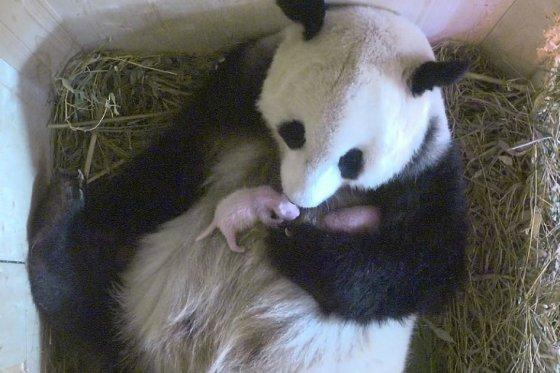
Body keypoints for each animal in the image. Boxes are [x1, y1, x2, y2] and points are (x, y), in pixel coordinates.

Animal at [28, 1, 470, 370]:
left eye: (352, 160)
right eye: (294, 132)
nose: (296, 199)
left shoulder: (427, 170)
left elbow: (420, 265)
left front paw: (293, 243)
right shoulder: (236, 93)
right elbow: (169, 169)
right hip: (137, 310)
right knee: (91, 307)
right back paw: (57, 224)